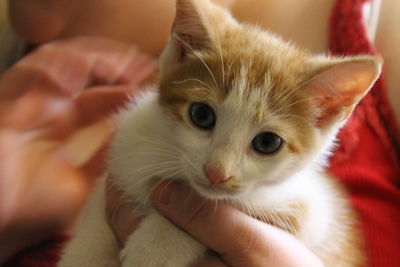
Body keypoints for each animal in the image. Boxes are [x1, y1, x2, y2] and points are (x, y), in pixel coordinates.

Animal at [57, 0, 380, 267]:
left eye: (268, 142)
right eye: (201, 115)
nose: (216, 173)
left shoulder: (309, 211)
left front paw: (157, 245)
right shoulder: (124, 159)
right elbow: (98, 214)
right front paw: (86, 255)